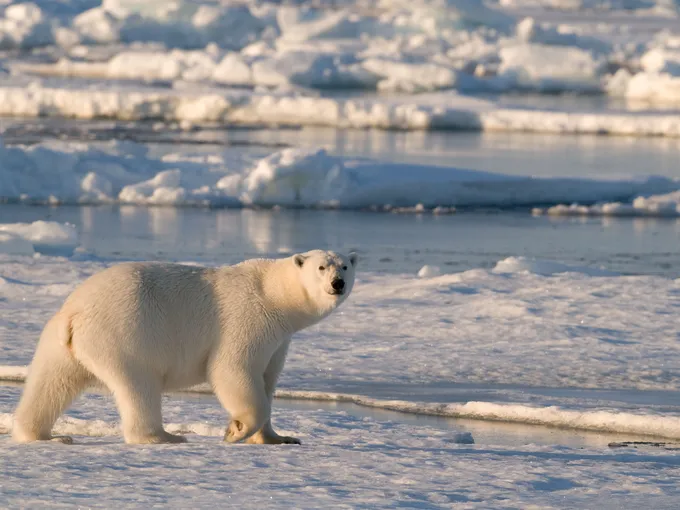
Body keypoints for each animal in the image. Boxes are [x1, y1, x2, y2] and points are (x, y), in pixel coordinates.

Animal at [12, 249, 357, 445]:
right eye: (322, 268)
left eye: (345, 267)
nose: (337, 283)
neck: (274, 294)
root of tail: (75, 313)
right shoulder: (249, 318)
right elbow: (232, 369)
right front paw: (235, 431)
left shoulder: (279, 339)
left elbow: (267, 380)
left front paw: (280, 438)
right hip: (126, 331)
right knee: (139, 384)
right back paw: (163, 436)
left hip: (60, 342)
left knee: (50, 383)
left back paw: (45, 434)